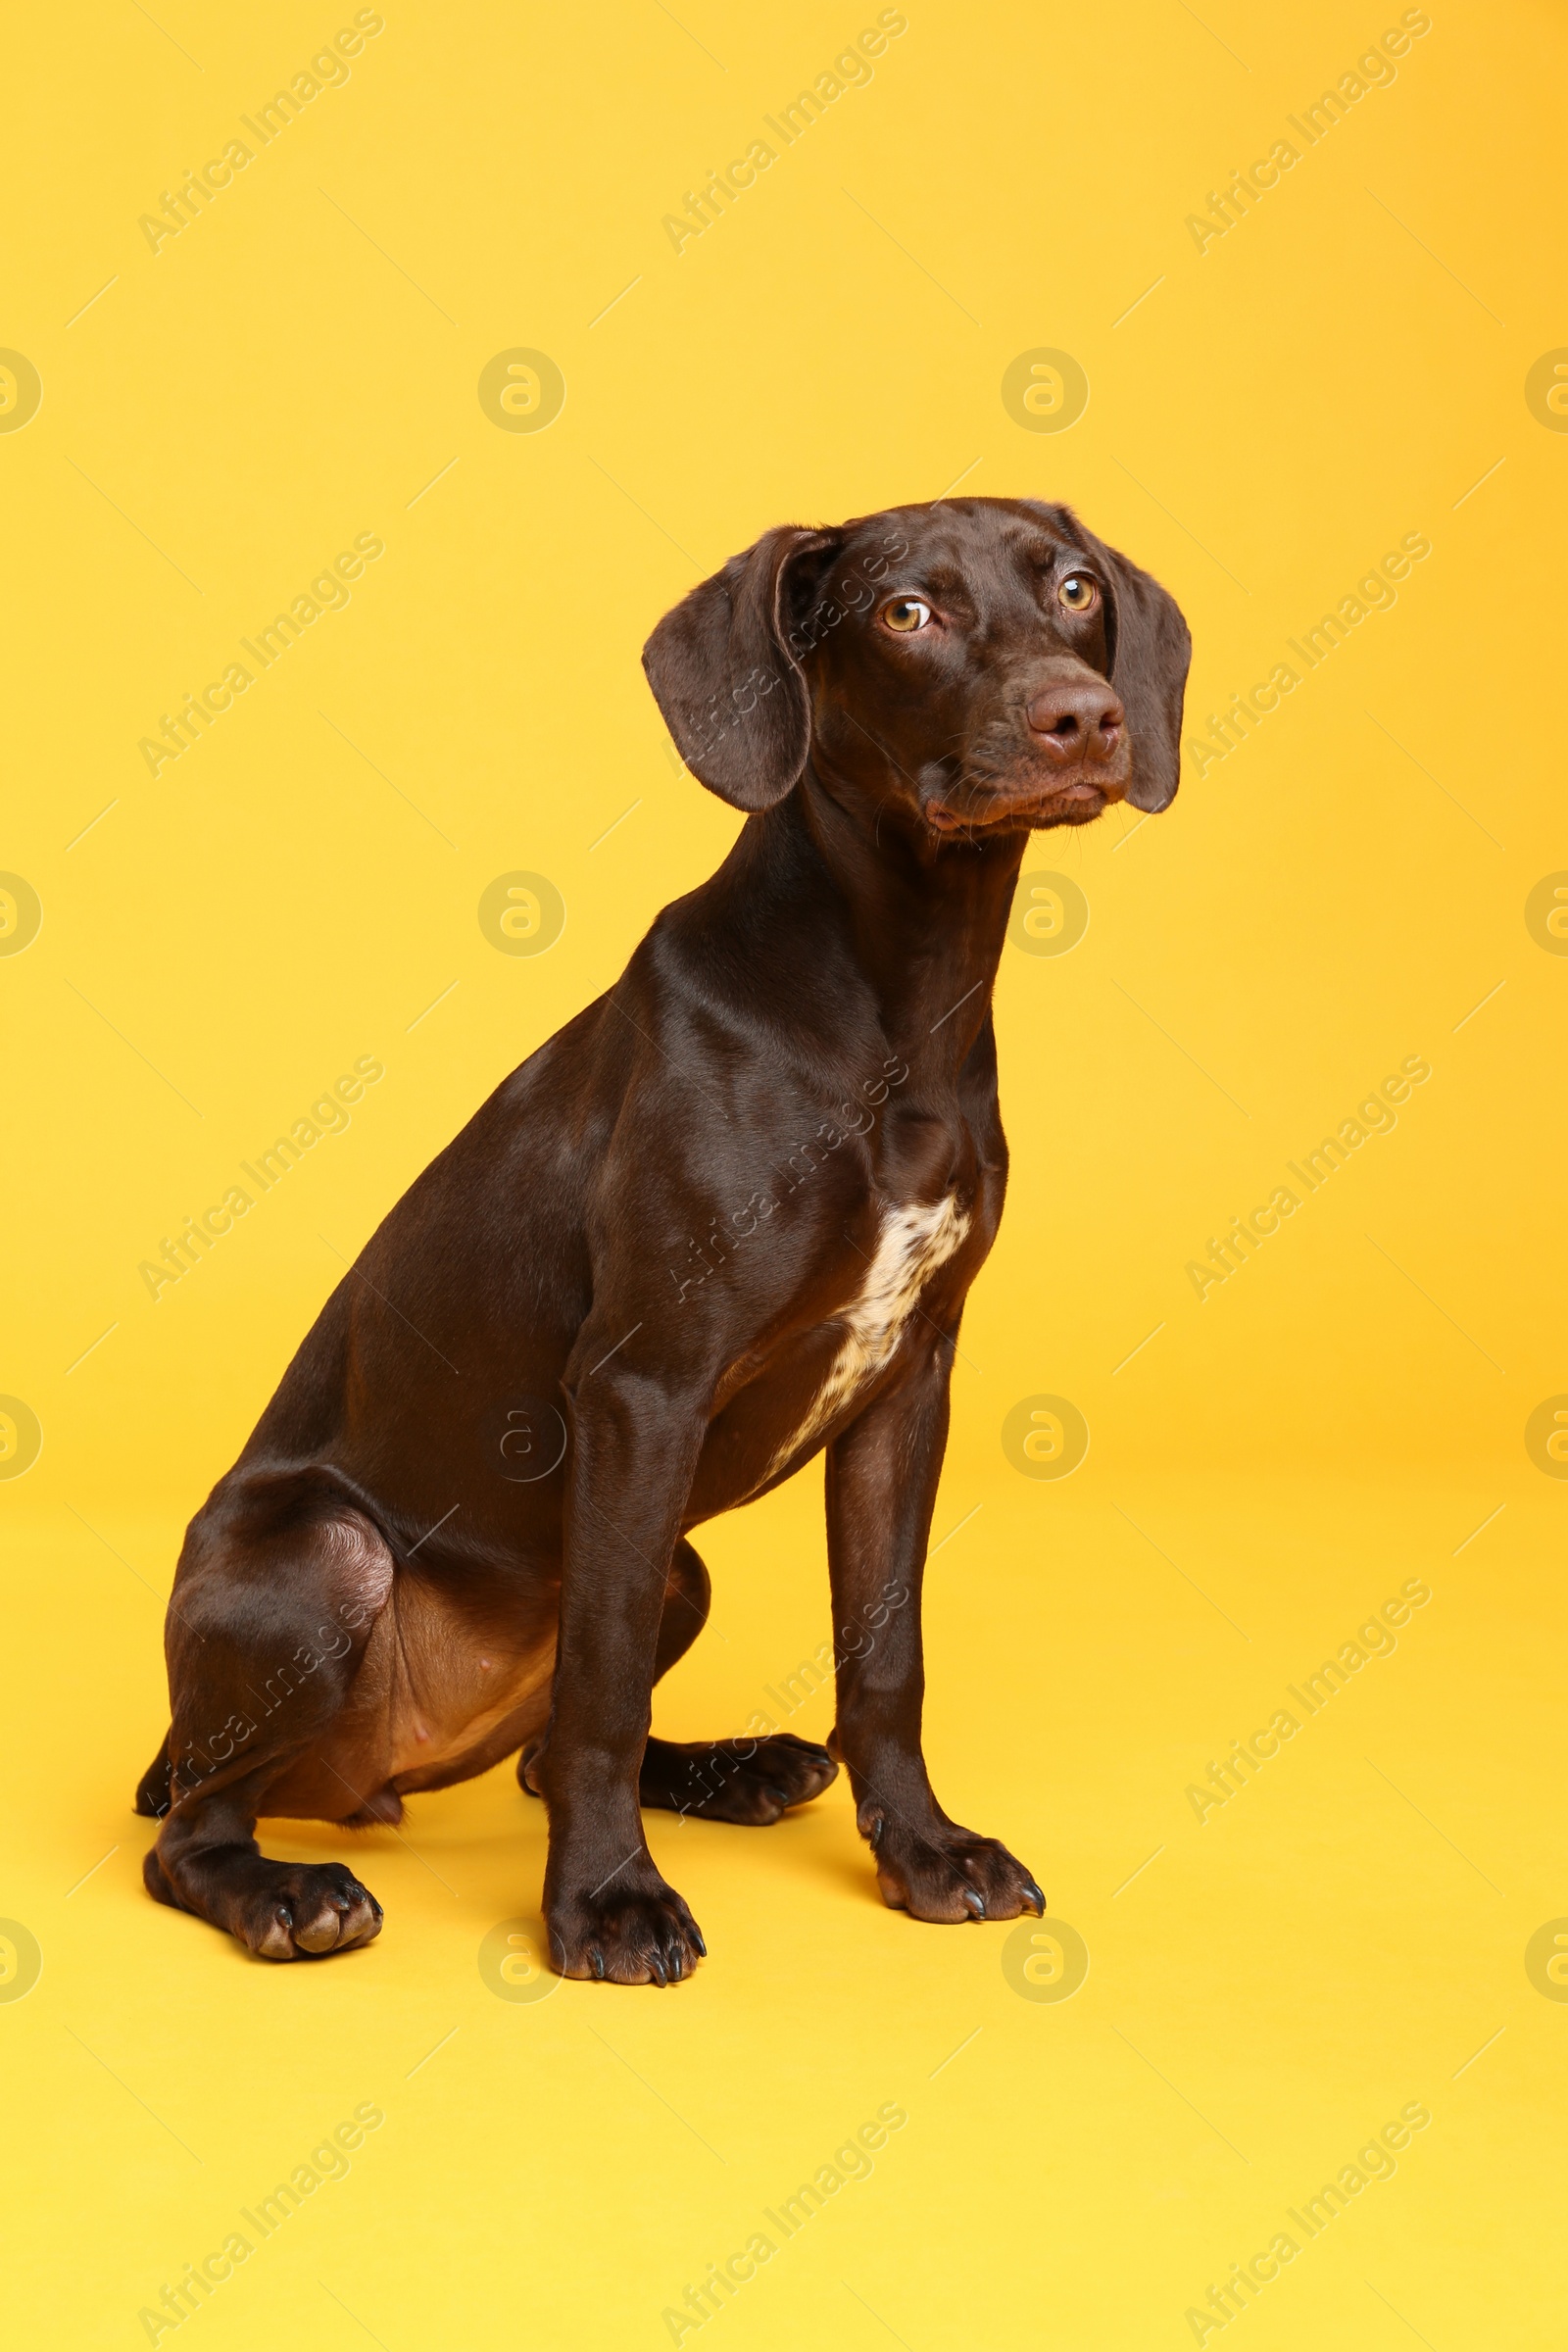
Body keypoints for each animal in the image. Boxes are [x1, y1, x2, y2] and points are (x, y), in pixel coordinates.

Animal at [137, 496, 1189, 1984]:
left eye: (1079, 590)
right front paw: (603, 1905)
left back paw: (735, 1769)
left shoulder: (905, 1388)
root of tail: (372, 1775)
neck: (893, 1003)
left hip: (675, 1561)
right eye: (907, 611)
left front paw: (923, 1852)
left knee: (542, 1743)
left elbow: (882, 1660)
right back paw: (282, 1893)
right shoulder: (644, 1385)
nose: (1082, 718)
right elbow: (602, 1694)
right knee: (197, 1829)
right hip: (325, 1566)